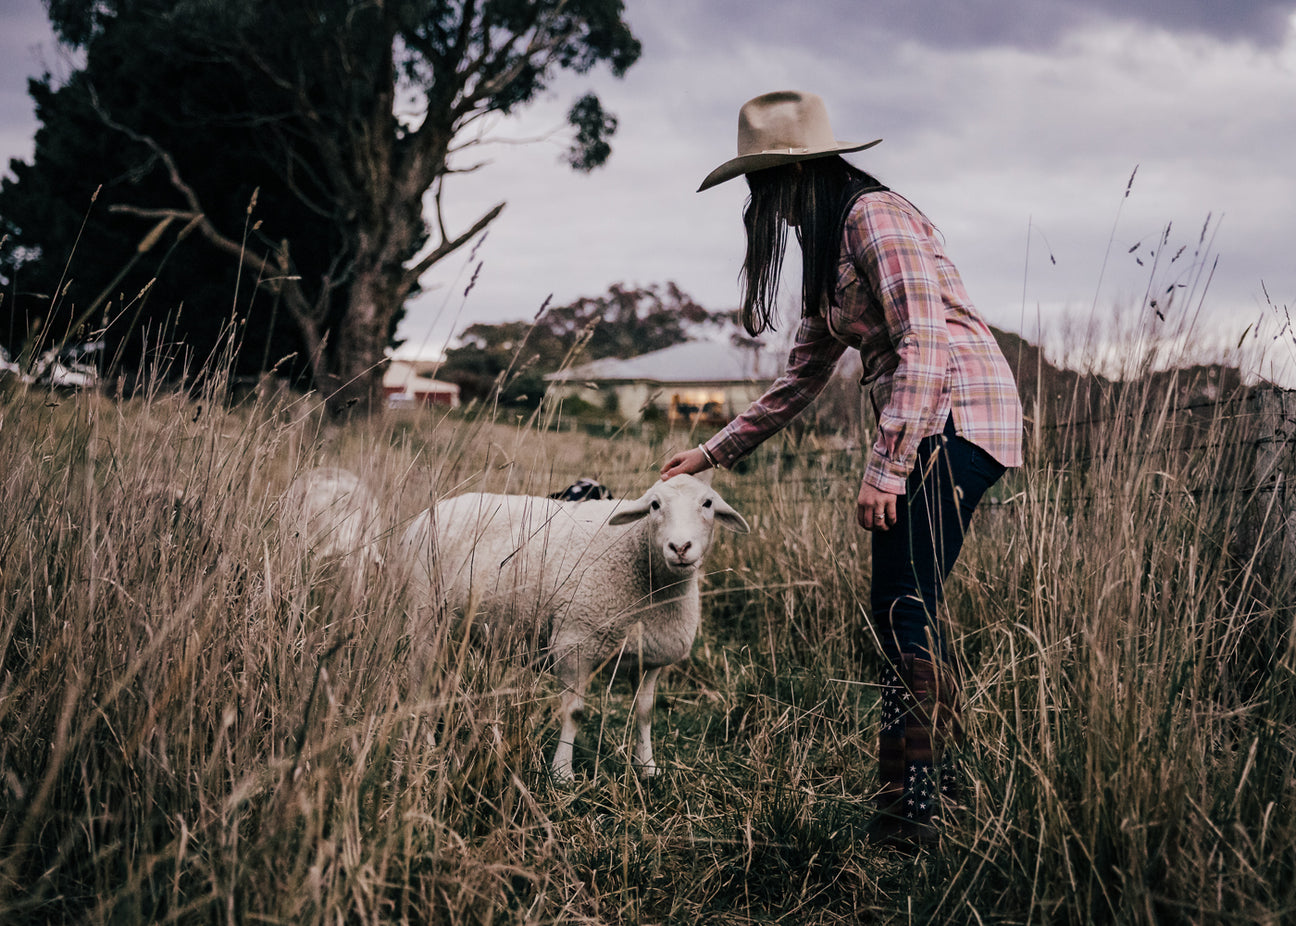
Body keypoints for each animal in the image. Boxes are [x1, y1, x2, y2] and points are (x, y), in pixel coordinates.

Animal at [401, 471, 751, 782]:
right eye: (654, 505)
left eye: (707, 503)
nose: (680, 547)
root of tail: (430, 511)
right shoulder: (574, 644)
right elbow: (574, 712)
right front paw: (562, 773)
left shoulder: (650, 657)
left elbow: (645, 712)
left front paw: (647, 767)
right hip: (426, 613)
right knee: (420, 681)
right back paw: (426, 745)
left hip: (453, 628)